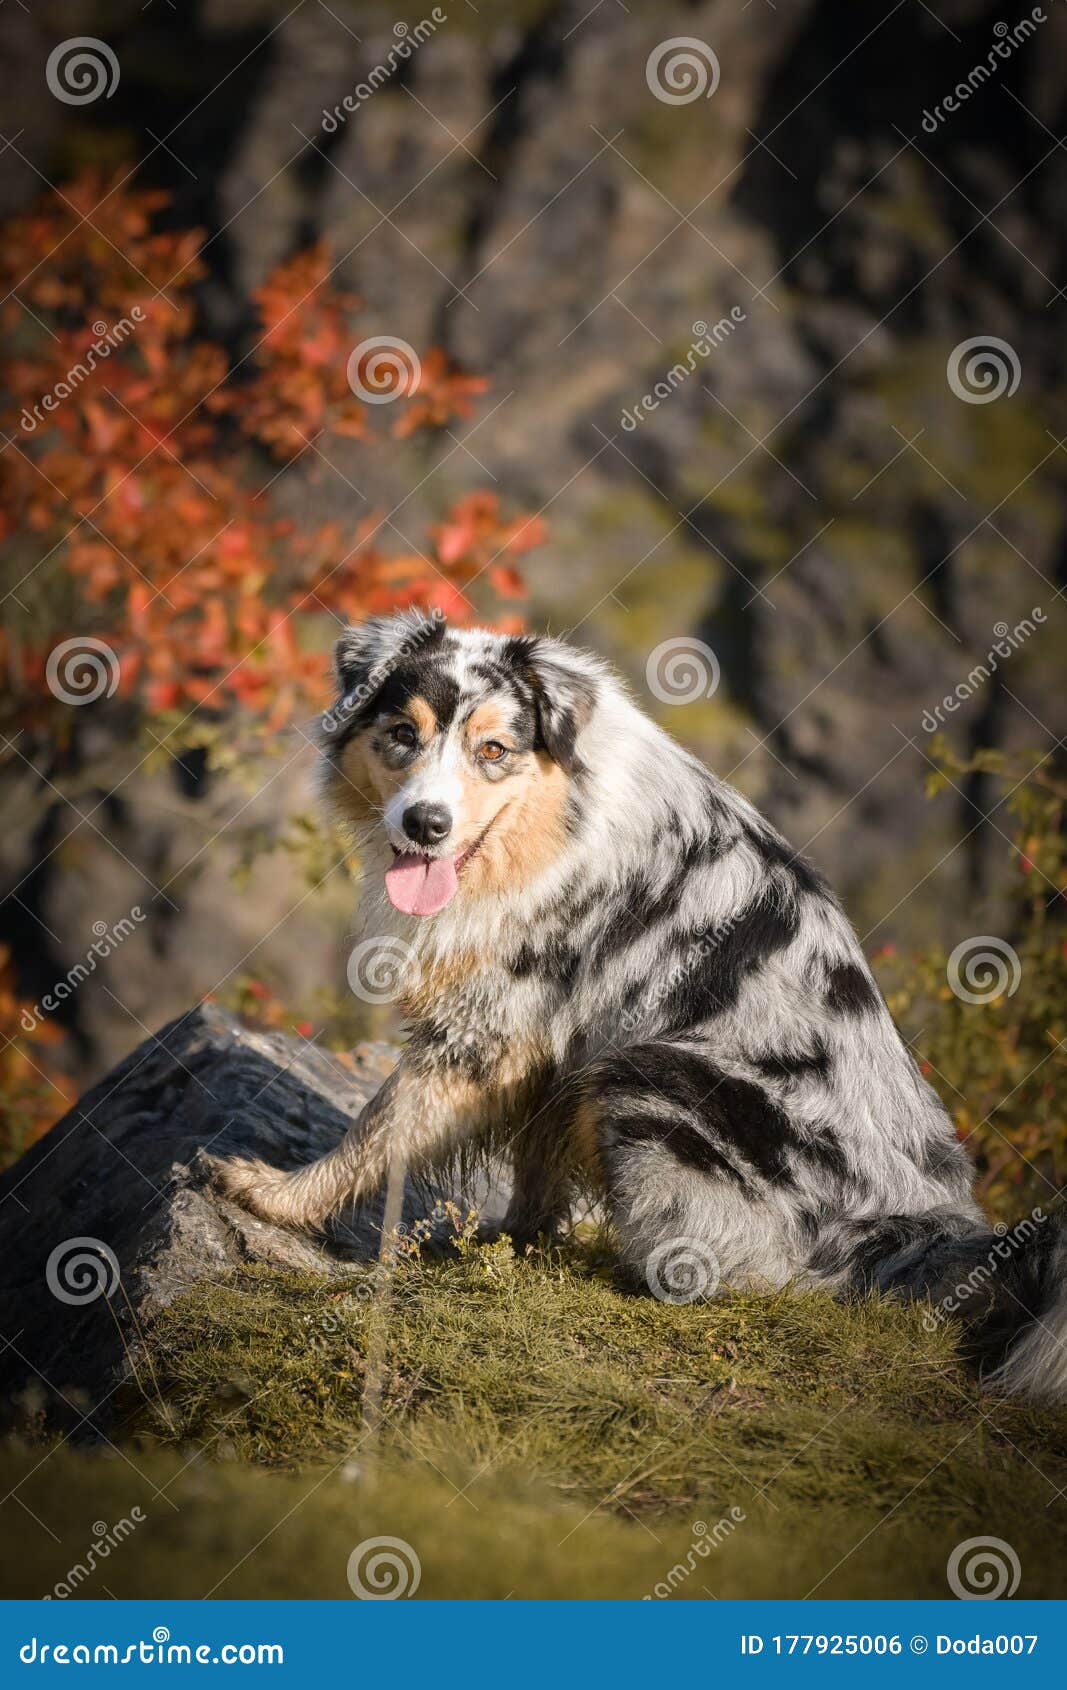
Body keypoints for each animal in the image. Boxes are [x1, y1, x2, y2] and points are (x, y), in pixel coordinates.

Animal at [216, 608, 1067, 1399]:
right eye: (401, 734)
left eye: (493, 751)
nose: (425, 823)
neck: (549, 825)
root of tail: (918, 1231)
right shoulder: (552, 1042)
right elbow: (533, 1159)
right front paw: (510, 1242)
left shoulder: (487, 1027)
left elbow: (378, 1126)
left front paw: (278, 1195)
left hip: (653, 1075)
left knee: (763, 1276)